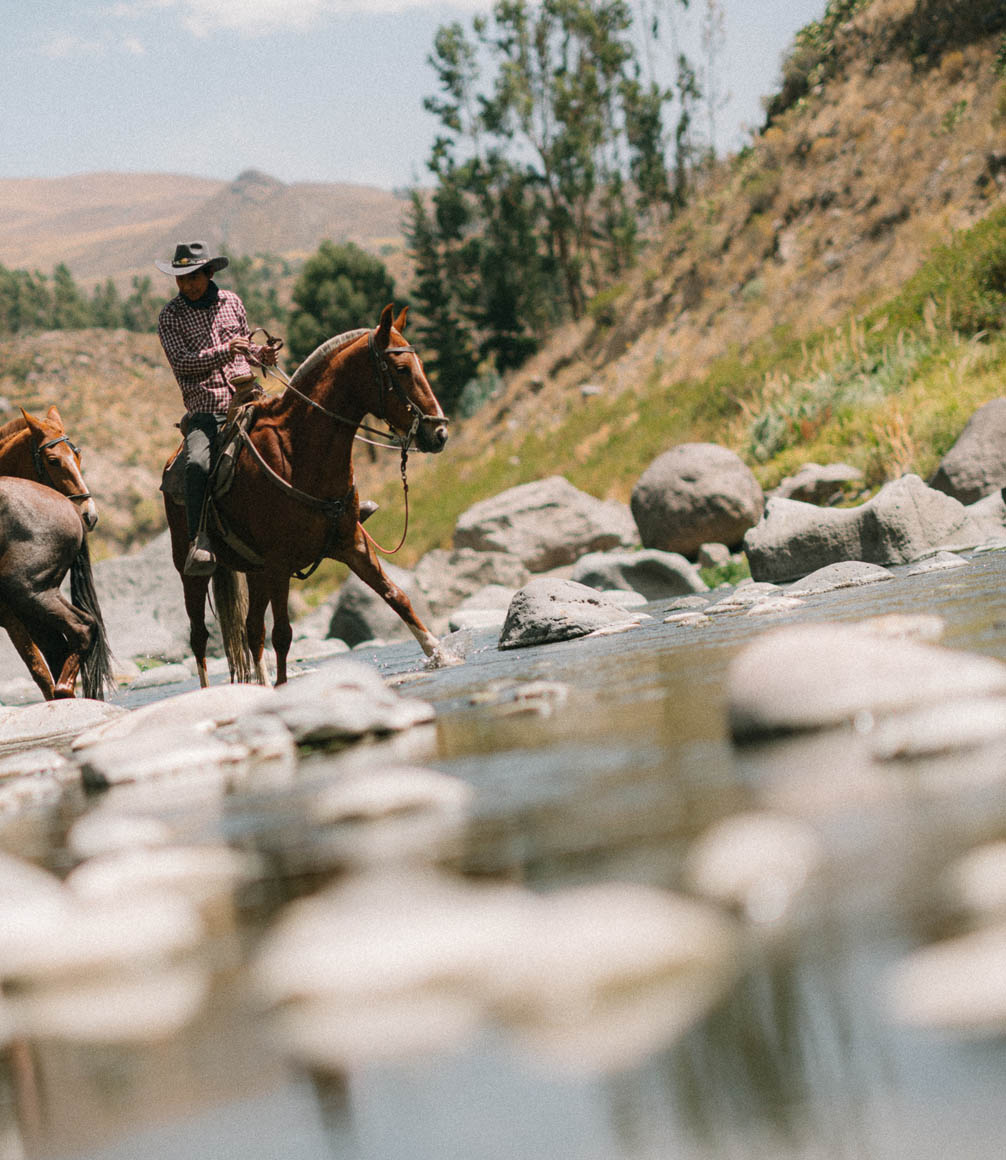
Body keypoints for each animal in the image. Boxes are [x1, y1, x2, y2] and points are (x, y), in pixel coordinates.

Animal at [164, 301, 447, 686]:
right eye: (401, 369)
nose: (439, 433)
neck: (300, 451)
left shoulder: (351, 544)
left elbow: (397, 596)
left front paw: (439, 653)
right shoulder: (280, 563)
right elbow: (283, 633)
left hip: (255, 571)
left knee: (252, 629)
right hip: (192, 570)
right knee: (200, 636)